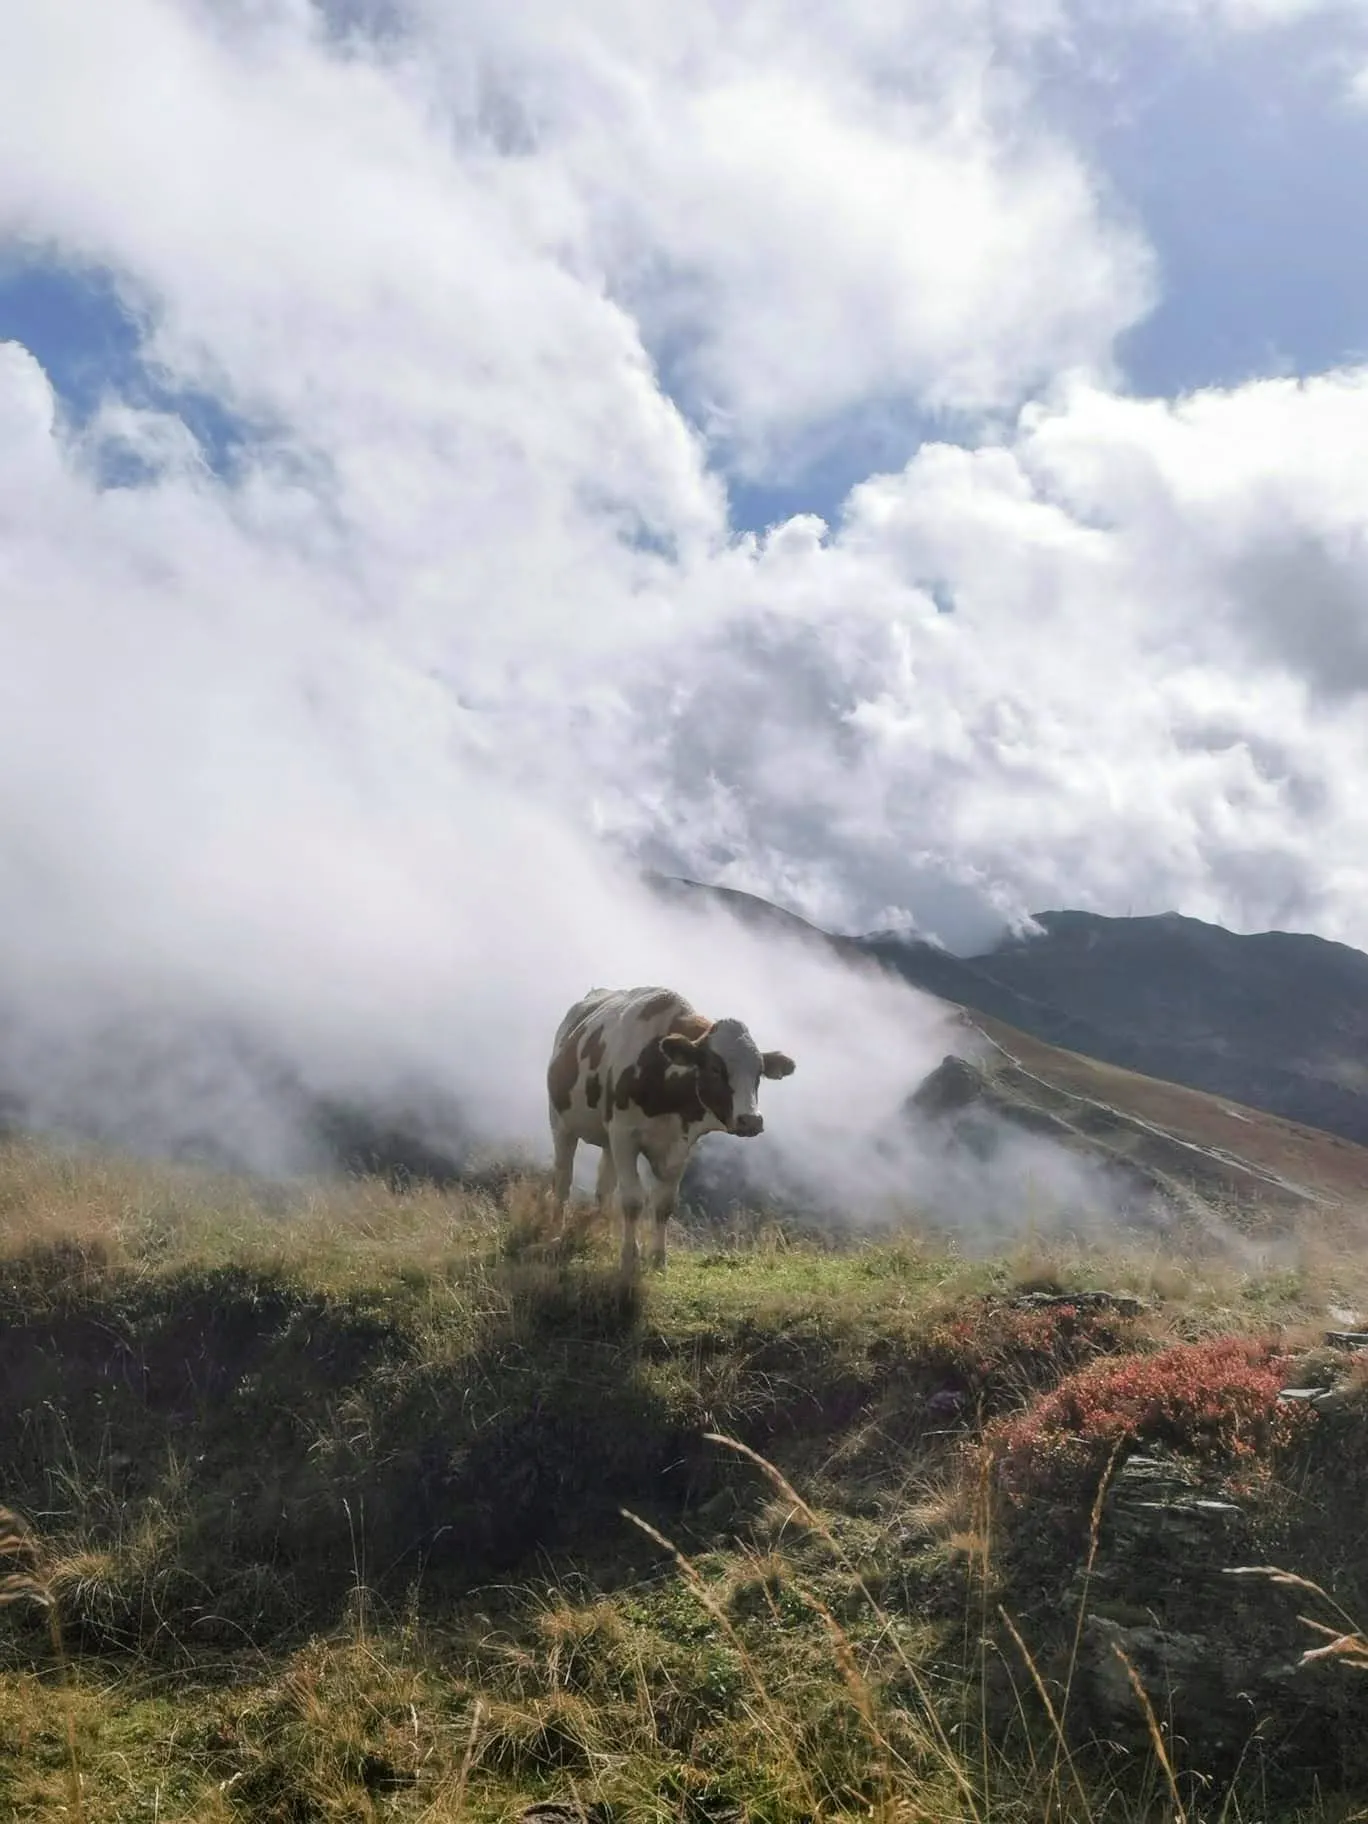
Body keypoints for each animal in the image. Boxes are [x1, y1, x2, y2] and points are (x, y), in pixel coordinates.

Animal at [546, 985, 797, 1271]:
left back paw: (605, 1232)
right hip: (561, 1124)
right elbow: (632, 1200)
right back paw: (555, 1233)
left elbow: (664, 1204)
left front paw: (657, 1257)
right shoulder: (624, 1135)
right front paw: (630, 1257)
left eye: (759, 1073)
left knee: (604, 1189)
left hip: (608, 1142)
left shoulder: (681, 1144)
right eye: (715, 1068)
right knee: (563, 1181)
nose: (751, 1120)